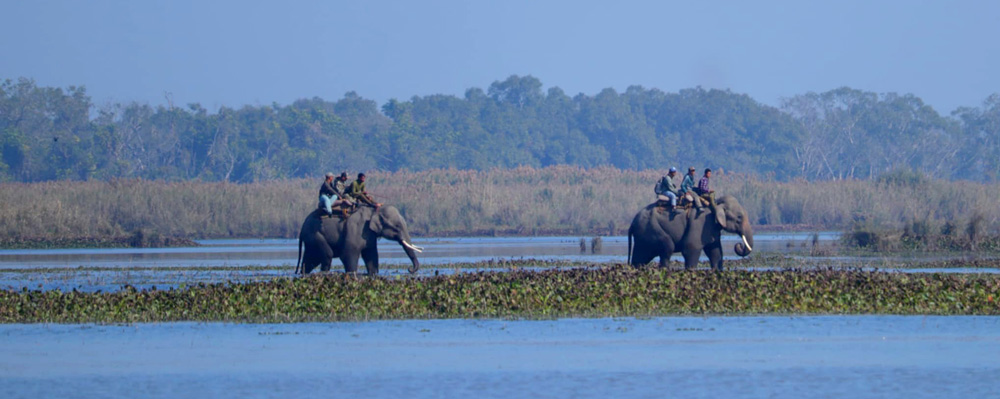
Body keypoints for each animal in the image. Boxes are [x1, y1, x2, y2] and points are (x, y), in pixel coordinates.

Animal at [624, 195, 752, 272]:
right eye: (739, 218)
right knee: (667, 247)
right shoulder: (700, 223)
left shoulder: (712, 228)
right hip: (652, 229)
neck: (715, 203)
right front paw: (690, 271)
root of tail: (632, 224)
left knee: (640, 258)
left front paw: (716, 271)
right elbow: (690, 248)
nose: (739, 245)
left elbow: (715, 251)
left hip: (643, 237)